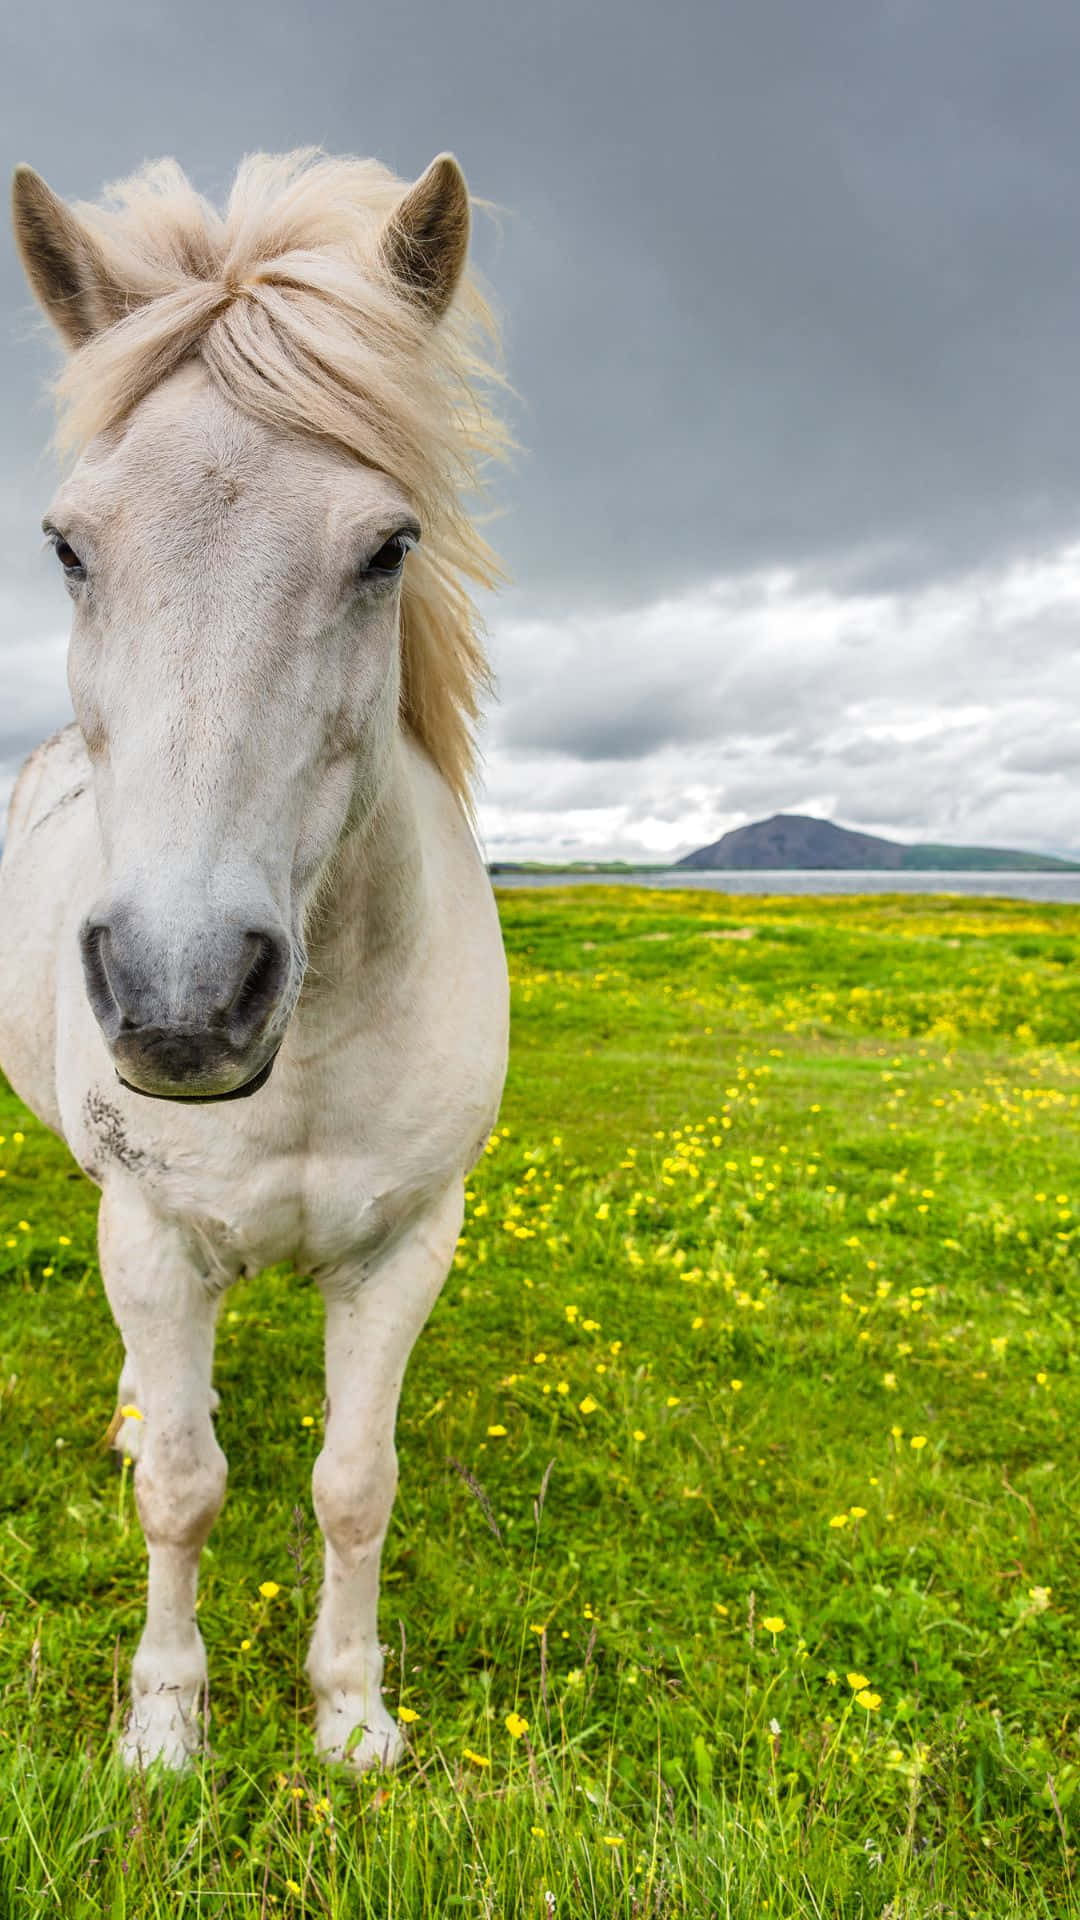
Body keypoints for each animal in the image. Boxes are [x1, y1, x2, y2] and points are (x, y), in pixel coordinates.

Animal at [0, 149, 510, 1771]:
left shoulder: (409, 1247)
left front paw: (349, 1717)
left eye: (388, 548)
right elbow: (179, 1486)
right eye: (68, 546)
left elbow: (357, 1484)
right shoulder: (156, 1242)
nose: (184, 1001)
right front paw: (165, 1729)